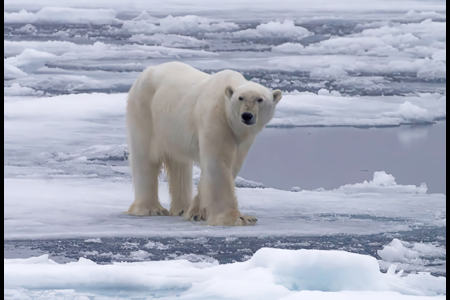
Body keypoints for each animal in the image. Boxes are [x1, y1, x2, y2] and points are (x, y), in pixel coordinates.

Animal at [125, 61, 282, 225]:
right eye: (240, 98)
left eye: (260, 99)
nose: (246, 115)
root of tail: (145, 72)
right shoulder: (216, 118)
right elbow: (219, 162)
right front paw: (236, 218)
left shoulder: (243, 138)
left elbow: (233, 165)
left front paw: (196, 212)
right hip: (144, 110)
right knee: (145, 157)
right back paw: (150, 209)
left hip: (173, 128)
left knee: (179, 165)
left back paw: (181, 208)